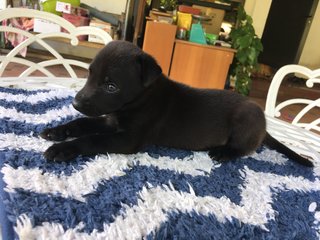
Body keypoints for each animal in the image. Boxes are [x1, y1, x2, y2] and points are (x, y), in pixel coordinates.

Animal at [40, 39, 312, 167]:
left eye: (111, 86)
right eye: (89, 74)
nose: (75, 102)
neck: (141, 99)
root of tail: (264, 124)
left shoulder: (128, 139)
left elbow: (92, 139)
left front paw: (63, 149)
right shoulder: (109, 119)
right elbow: (82, 123)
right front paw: (56, 131)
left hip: (246, 119)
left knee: (244, 148)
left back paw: (224, 152)